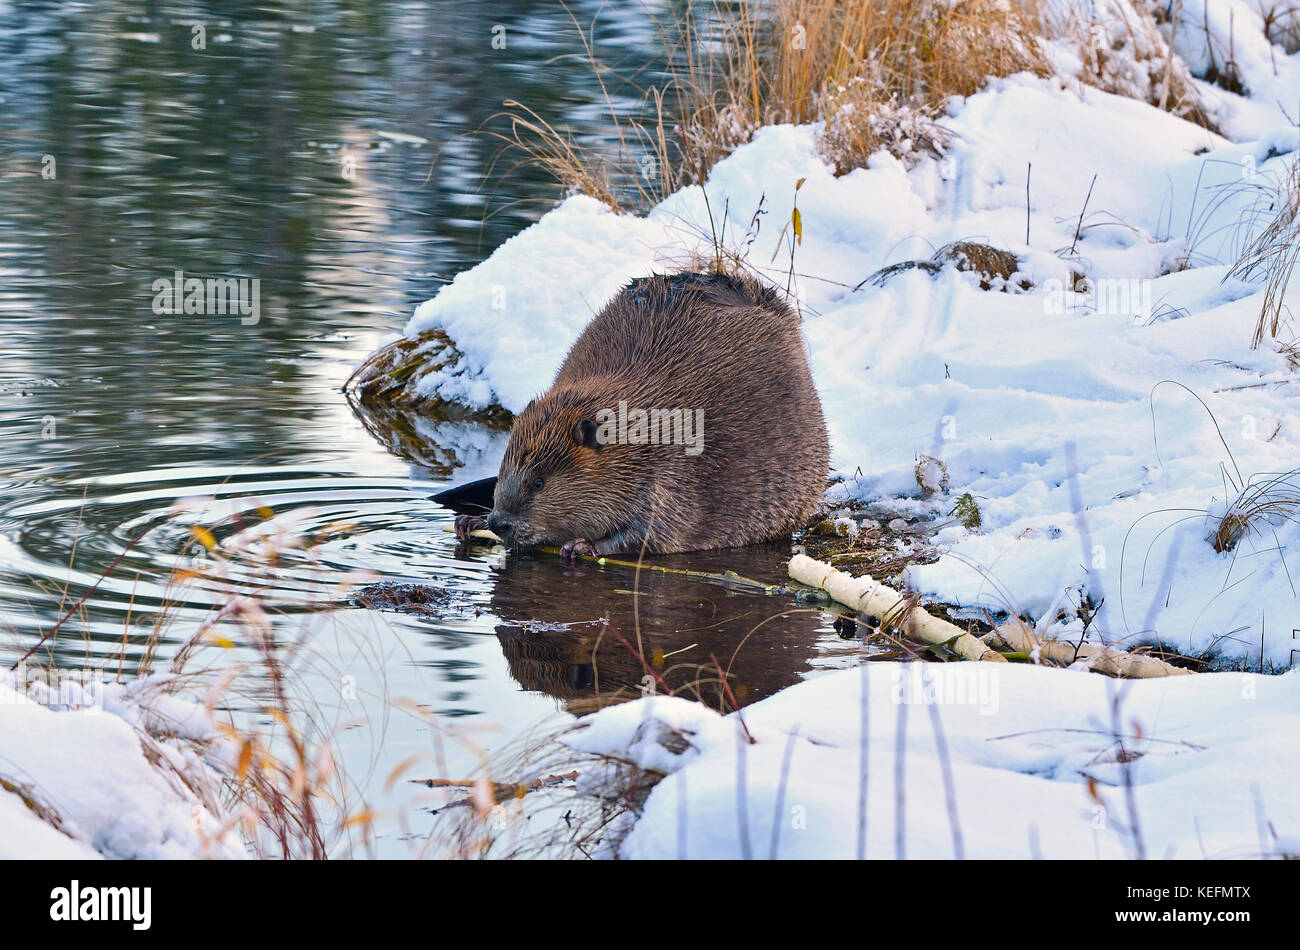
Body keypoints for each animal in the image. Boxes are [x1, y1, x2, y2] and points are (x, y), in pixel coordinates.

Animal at [452, 269, 826, 556]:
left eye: (539, 482)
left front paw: (581, 546)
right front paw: (468, 522)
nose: (499, 522)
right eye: (503, 471)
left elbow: (654, 532)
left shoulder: (672, 474)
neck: (638, 429)